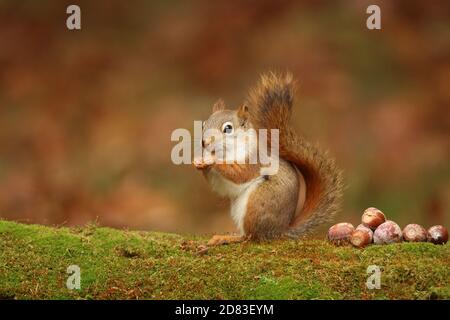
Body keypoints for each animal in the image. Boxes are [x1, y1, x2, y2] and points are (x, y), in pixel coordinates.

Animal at [192, 72, 342, 245]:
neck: (225, 152)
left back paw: (227, 238)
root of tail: (278, 231)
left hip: (257, 202)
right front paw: (199, 162)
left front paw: (212, 161)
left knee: (251, 236)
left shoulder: (253, 161)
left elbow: (239, 175)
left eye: (228, 128)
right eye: (204, 124)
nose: (204, 142)